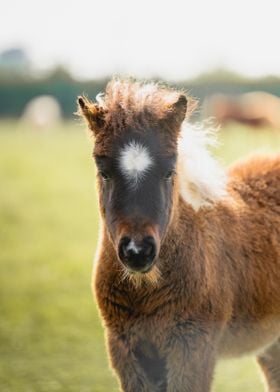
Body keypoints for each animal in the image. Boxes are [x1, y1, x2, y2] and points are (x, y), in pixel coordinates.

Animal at [77, 79, 280, 392]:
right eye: (104, 171)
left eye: (169, 170)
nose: (138, 251)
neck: (145, 293)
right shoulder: (125, 349)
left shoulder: (192, 348)